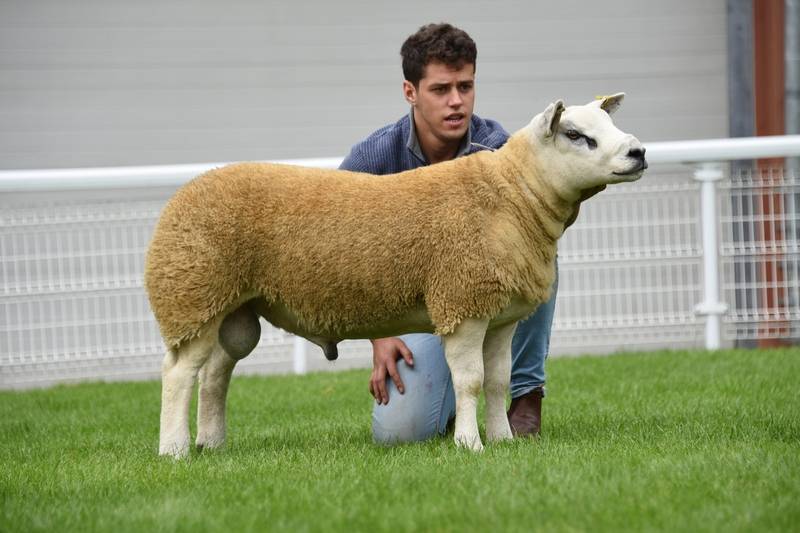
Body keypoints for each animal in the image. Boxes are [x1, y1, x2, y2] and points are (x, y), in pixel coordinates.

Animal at [146, 94, 647, 457]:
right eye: (575, 134)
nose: (638, 152)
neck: (513, 194)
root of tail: (184, 195)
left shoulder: (501, 315)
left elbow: (497, 380)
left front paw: (503, 440)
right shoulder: (463, 302)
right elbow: (471, 380)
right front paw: (470, 445)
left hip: (231, 308)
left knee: (215, 373)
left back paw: (212, 442)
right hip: (191, 292)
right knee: (179, 374)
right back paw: (174, 450)